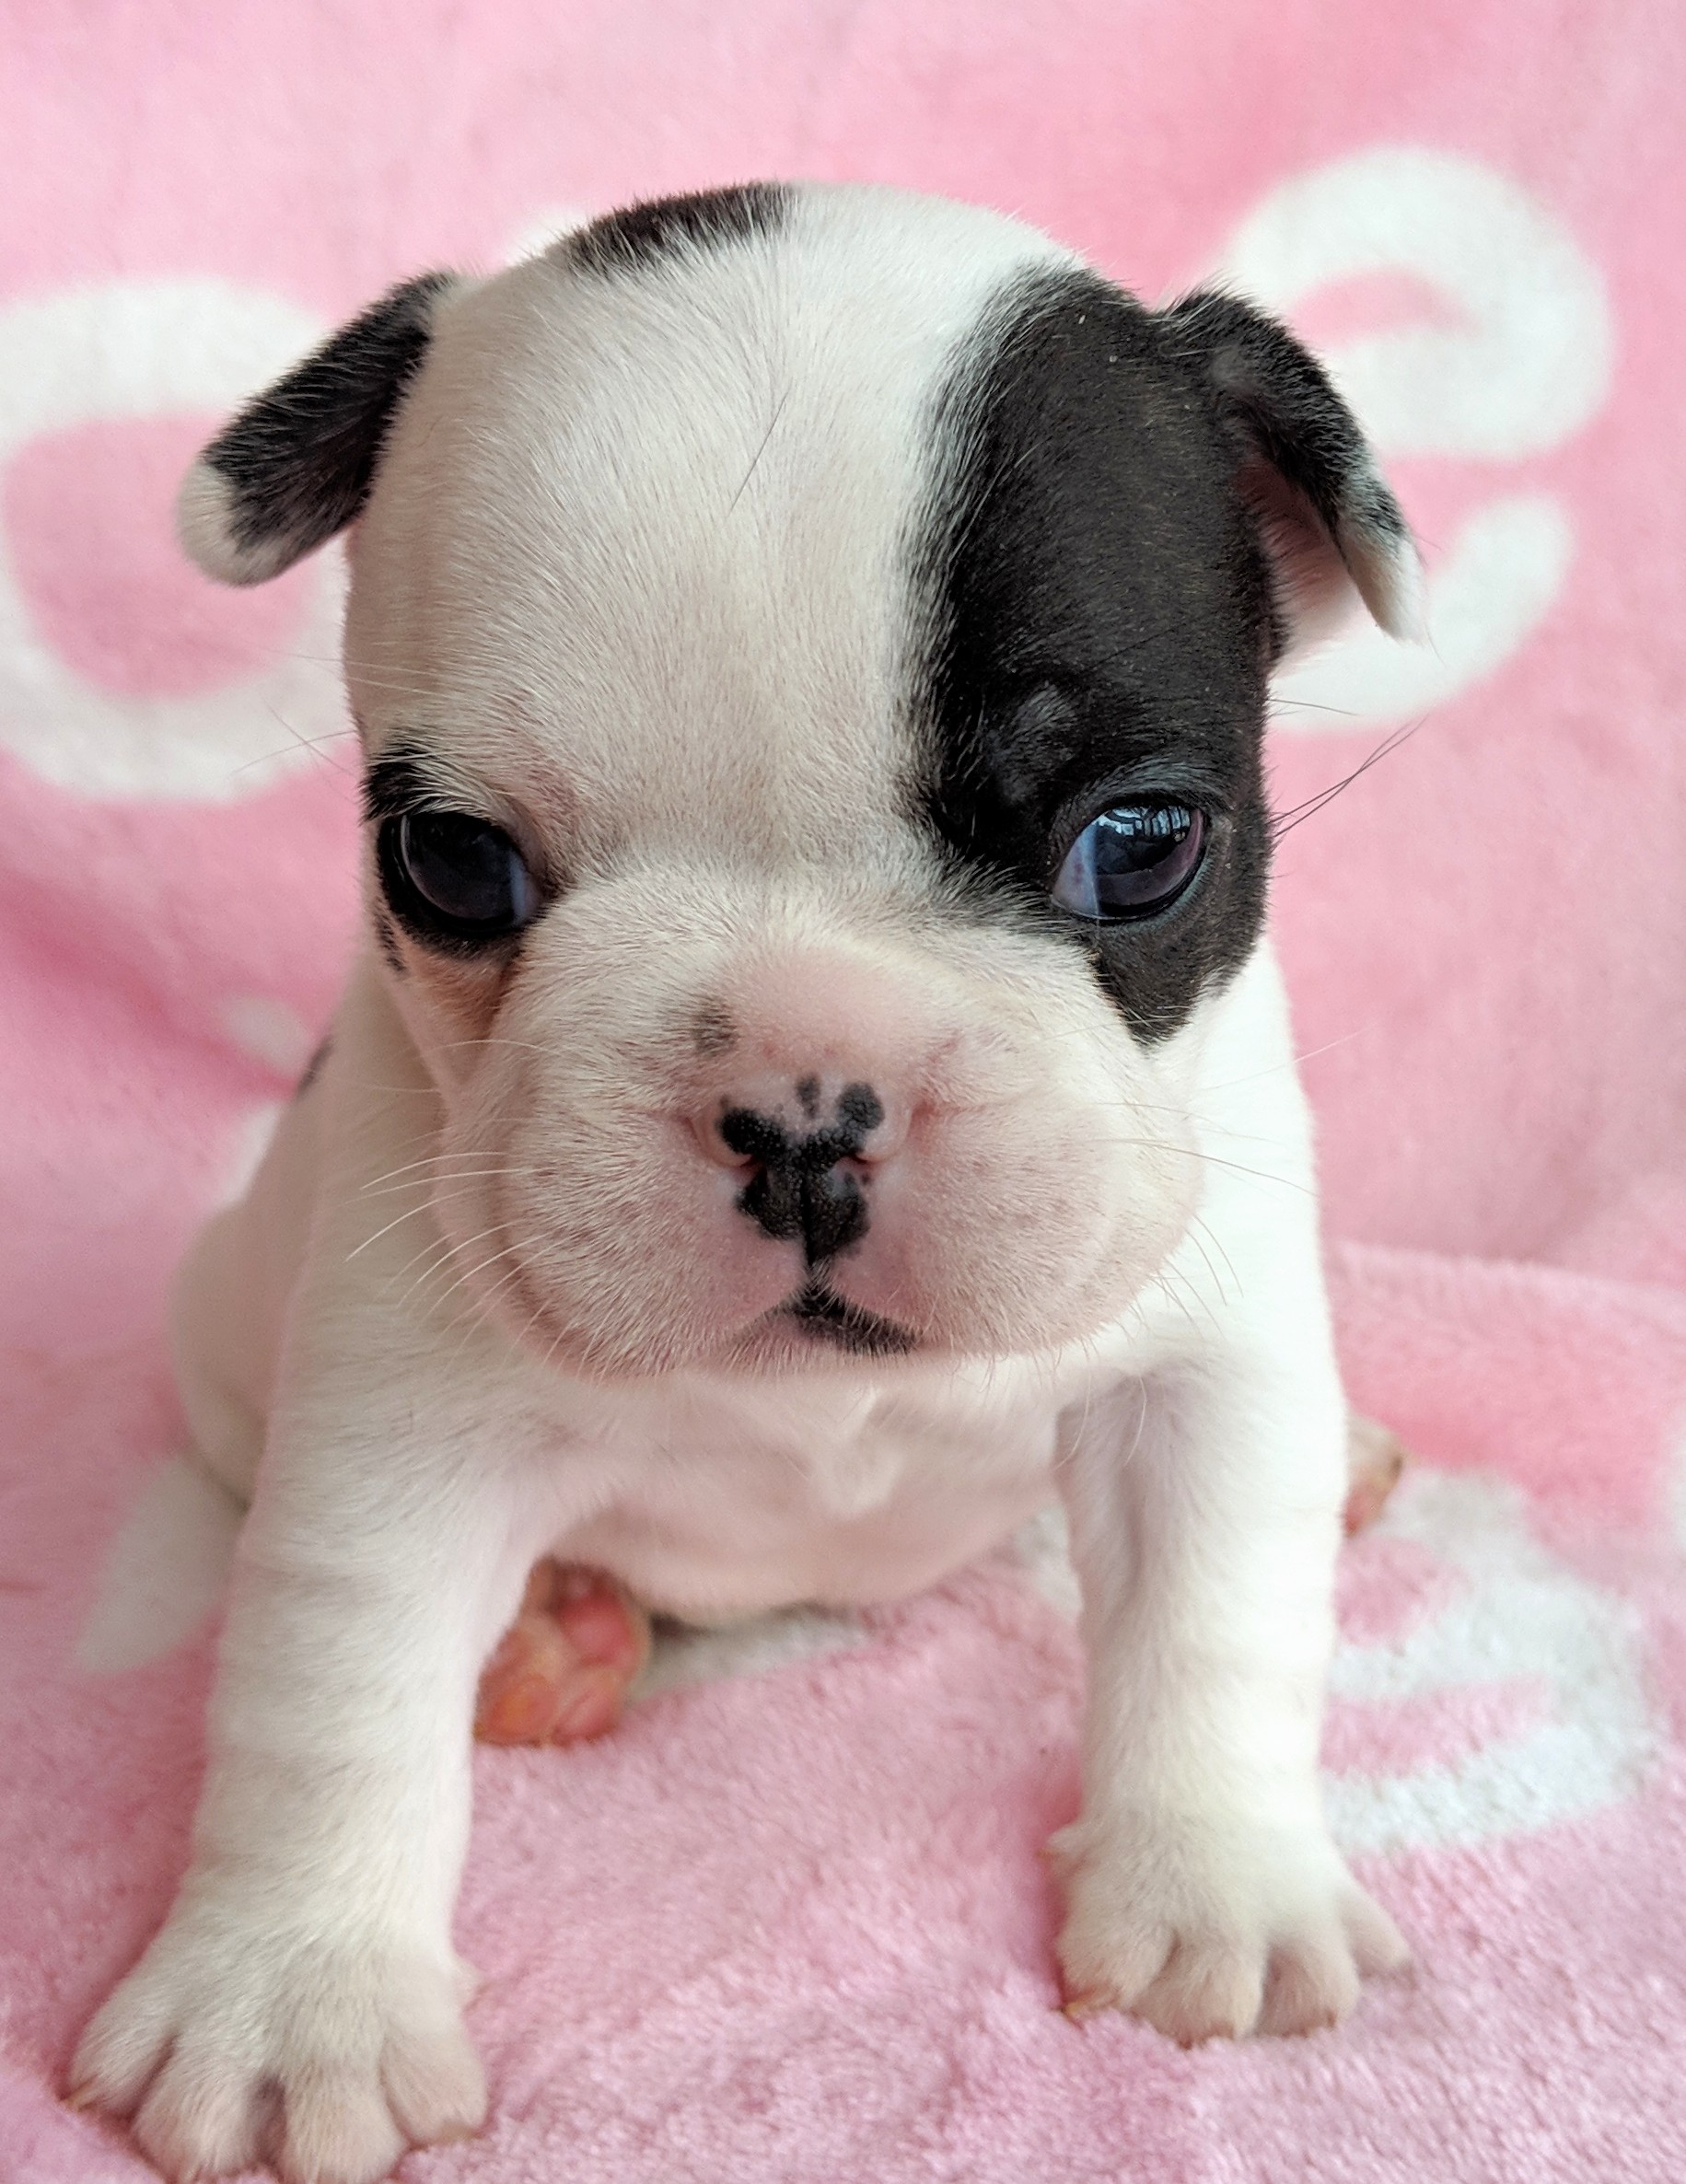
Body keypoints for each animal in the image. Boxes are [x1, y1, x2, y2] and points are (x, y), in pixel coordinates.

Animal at [76, 183, 1424, 2184]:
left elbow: (1219, 1609)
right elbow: (329, 1696)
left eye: (1139, 847)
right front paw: (286, 1995)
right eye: (448, 864)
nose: (805, 1099)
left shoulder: (1211, 1363)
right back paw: (551, 1637)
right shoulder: (388, 1428)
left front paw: (1217, 1884)